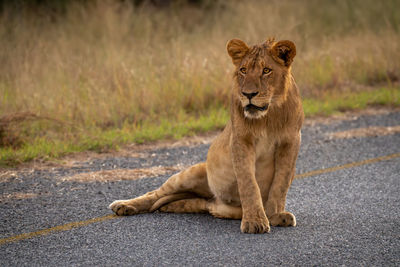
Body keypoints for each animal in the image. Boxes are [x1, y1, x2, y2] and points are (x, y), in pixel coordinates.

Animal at [109, 37, 304, 234]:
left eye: (266, 70)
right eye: (243, 70)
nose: (248, 94)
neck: (268, 115)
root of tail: (214, 200)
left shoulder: (291, 141)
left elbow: (280, 182)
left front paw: (275, 215)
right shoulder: (241, 140)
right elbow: (248, 183)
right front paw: (255, 221)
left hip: (214, 203)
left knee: (193, 202)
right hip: (190, 174)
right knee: (154, 194)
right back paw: (123, 206)